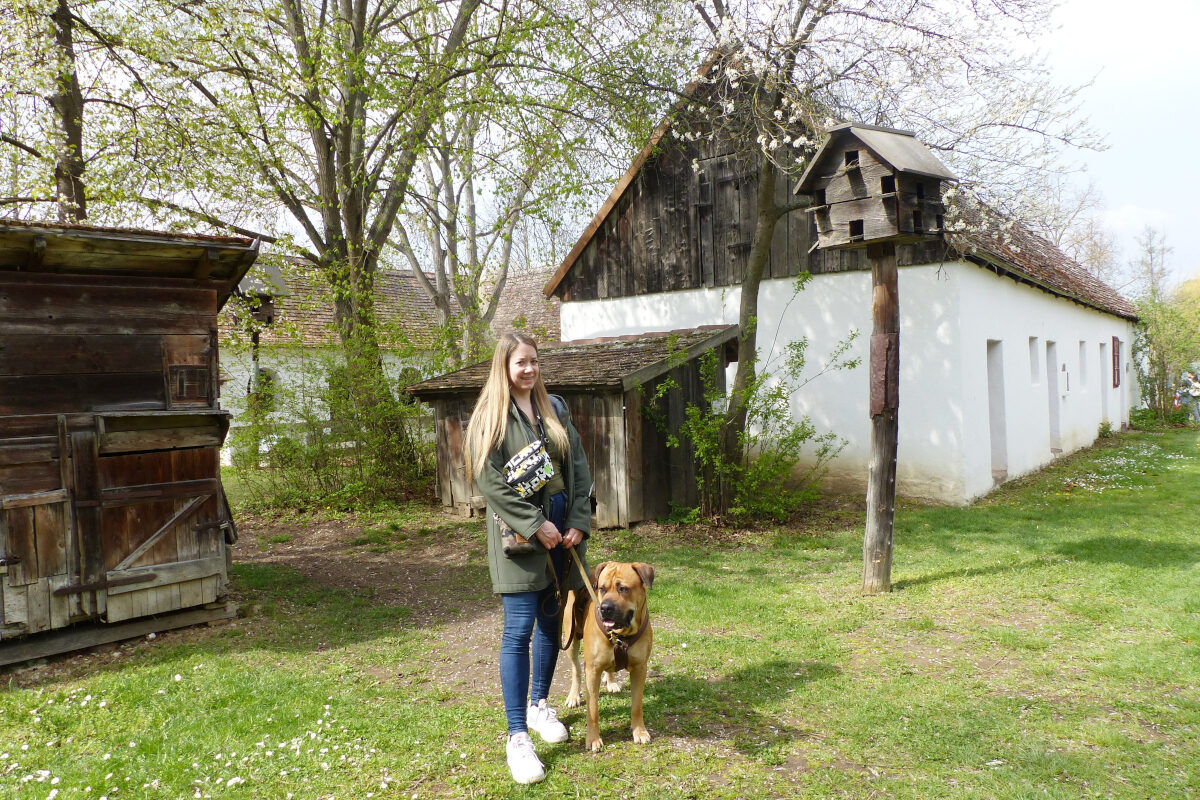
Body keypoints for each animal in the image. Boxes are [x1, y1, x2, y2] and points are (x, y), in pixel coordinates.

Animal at [564, 563, 657, 753]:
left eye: (623, 589)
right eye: (602, 589)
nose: (605, 608)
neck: (622, 635)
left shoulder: (640, 668)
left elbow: (637, 705)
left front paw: (639, 731)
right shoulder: (592, 670)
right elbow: (593, 709)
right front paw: (593, 738)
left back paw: (612, 681)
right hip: (570, 638)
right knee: (576, 669)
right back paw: (574, 696)